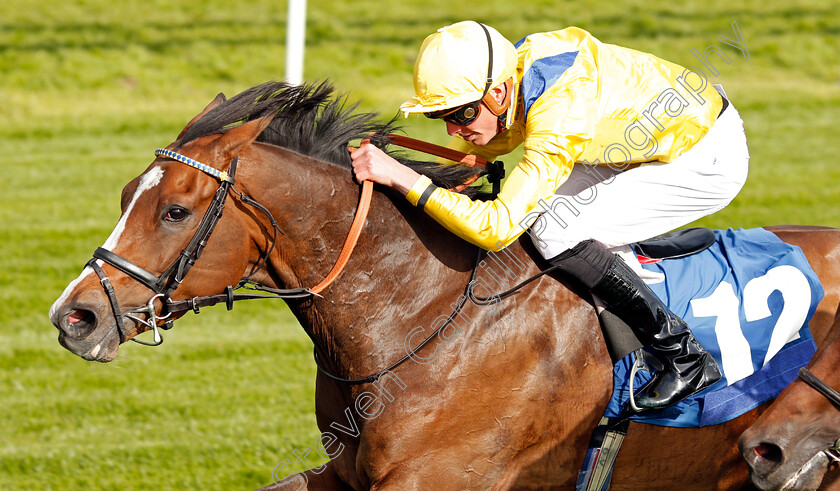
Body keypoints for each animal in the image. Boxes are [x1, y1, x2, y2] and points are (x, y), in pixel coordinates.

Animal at [49, 82, 840, 490]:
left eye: (175, 211)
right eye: (125, 194)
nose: (74, 316)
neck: (417, 315)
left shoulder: (438, 480)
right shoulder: (348, 476)